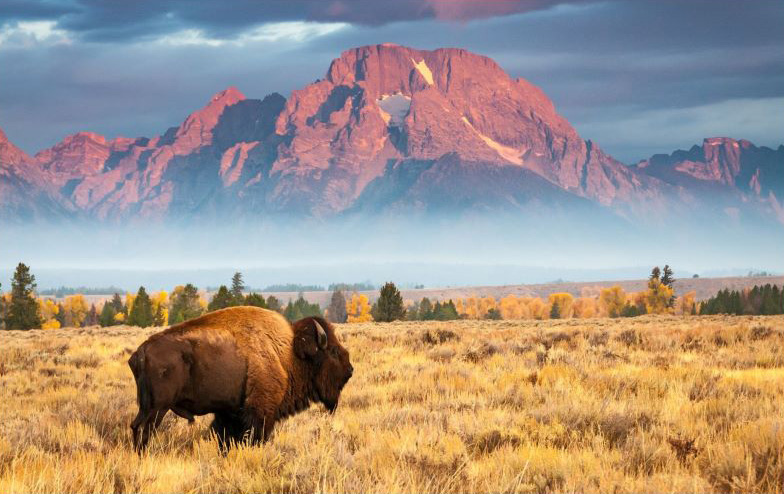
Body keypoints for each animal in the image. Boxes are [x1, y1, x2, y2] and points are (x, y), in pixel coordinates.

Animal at [128, 306, 352, 450]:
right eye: (333, 351)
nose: (350, 370)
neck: (289, 353)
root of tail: (141, 352)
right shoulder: (260, 412)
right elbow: (255, 437)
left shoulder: (230, 412)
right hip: (158, 408)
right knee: (145, 430)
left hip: (147, 406)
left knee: (135, 426)